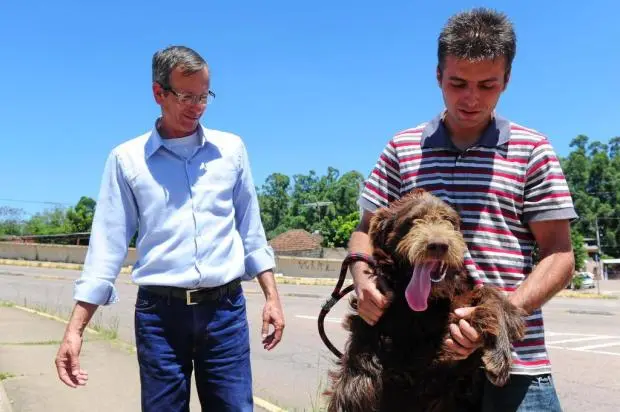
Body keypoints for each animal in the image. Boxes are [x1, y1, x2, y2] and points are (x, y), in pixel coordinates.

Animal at [326, 191, 524, 412]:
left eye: (448, 220)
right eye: (412, 221)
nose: (438, 245)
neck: (428, 302)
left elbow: (488, 292)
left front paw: (500, 352)